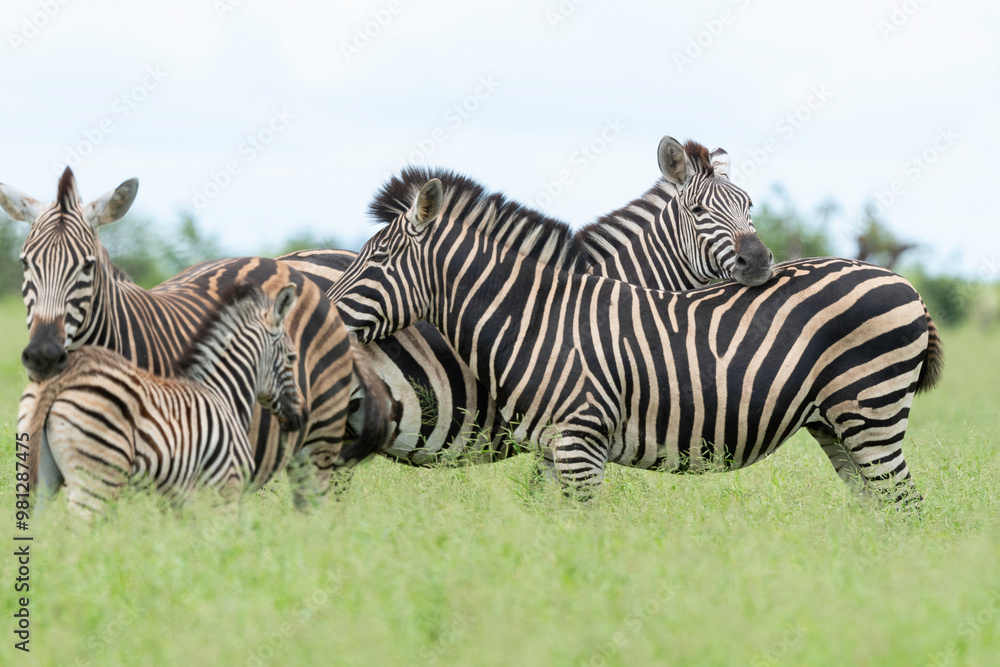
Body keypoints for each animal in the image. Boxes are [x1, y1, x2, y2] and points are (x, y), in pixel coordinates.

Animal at [19, 283, 310, 521]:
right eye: (293, 357)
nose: (303, 416)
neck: (224, 393)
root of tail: (65, 376)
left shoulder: (180, 502)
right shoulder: (224, 489)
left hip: (42, 477)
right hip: (98, 479)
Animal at [328, 173, 944, 508]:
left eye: (376, 260)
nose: (323, 315)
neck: (532, 317)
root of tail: (902, 281)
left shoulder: (579, 443)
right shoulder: (554, 447)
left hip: (871, 411)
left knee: (907, 508)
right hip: (835, 424)